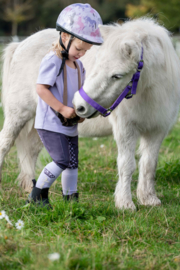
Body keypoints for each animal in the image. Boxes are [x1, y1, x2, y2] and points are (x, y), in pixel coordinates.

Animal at [0, 18, 180, 211]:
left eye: (117, 76)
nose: (79, 106)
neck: (149, 91)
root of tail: (19, 45)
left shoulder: (156, 131)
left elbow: (149, 164)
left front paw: (149, 199)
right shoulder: (126, 130)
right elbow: (127, 164)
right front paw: (125, 203)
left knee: (31, 152)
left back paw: (30, 188)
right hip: (18, 115)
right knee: (5, 144)